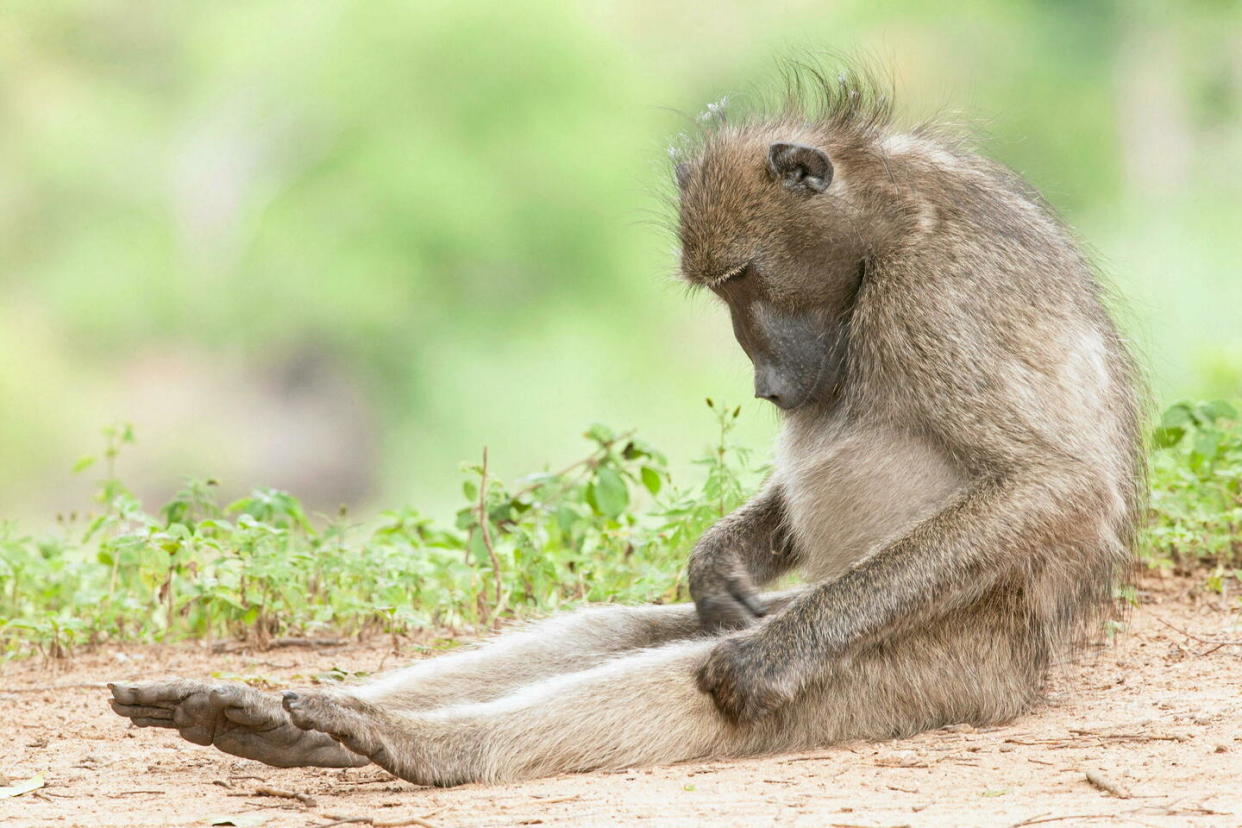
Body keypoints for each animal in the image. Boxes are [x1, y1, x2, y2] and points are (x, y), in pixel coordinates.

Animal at [106, 67, 1142, 789]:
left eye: (743, 280)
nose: (766, 382)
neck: (887, 214)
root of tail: (1031, 667)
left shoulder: (937, 294)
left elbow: (1052, 483)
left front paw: (763, 654)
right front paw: (716, 566)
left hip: (931, 664)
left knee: (682, 677)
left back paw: (422, 747)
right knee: (611, 633)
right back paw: (273, 721)